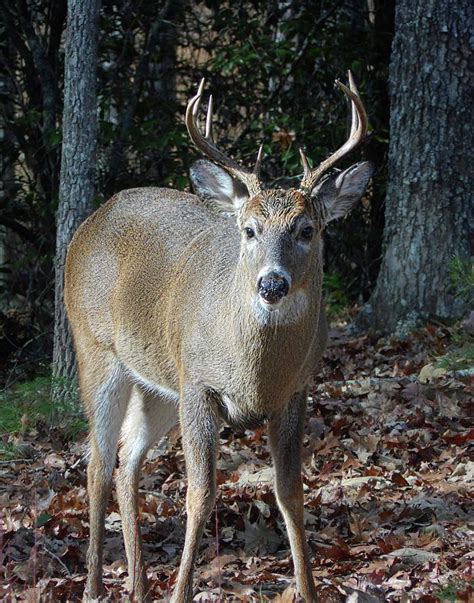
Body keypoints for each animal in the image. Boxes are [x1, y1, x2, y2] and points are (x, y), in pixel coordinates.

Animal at [64, 73, 374, 600]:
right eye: (249, 230)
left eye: (307, 229)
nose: (272, 284)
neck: (256, 374)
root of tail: (90, 222)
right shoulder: (198, 384)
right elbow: (200, 493)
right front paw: (181, 590)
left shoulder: (296, 391)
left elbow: (290, 492)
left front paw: (308, 589)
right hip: (97, 353)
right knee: (97, 465)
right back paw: (93, 586)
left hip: (156, 384)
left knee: (126, 466)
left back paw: (138, 585)